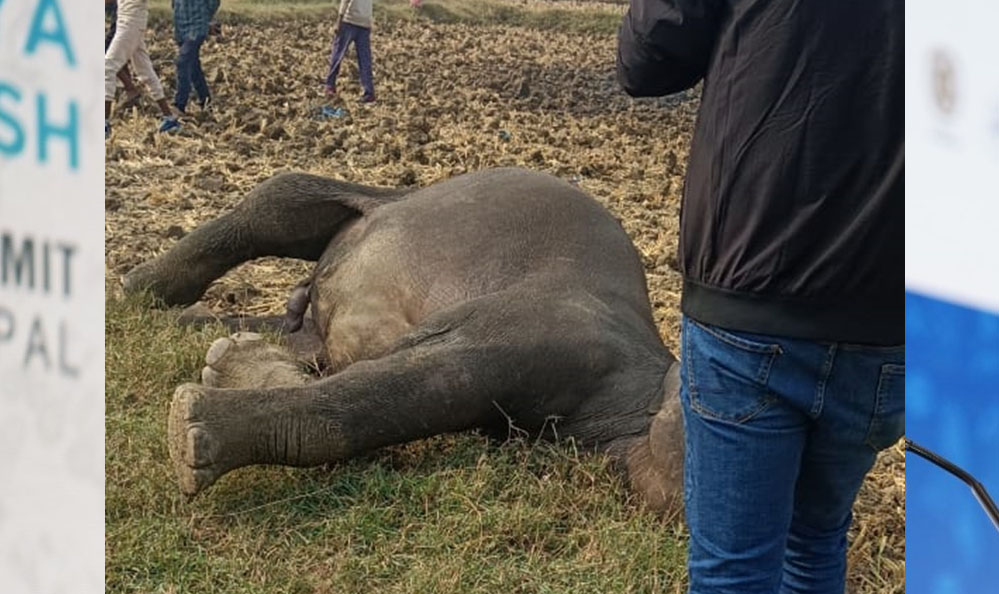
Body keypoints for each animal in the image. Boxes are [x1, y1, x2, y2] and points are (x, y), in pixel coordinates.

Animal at [123, 165, 688, 508]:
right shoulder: (541, 327)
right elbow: (371, 393)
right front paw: (197, 426)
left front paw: (234, 373)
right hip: (380, 202)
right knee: (281, 200)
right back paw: (139, 285)